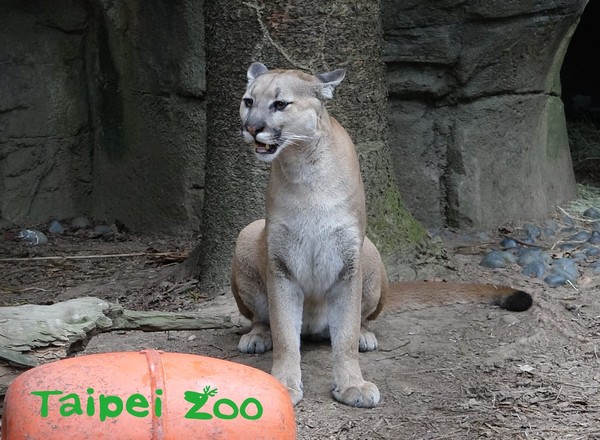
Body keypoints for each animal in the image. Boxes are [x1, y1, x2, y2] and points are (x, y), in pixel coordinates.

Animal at [232, 62, 532, 410]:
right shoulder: (281, 264)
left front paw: (352, 384)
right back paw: (257, 336)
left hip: (371, 252)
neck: (303, 166)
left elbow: (346, 334)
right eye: (249, 101)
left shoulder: (348, 260)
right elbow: (284, 334)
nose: (252, 128)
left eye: (280, 104)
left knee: (357, 321)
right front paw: (283, 384)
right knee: (263, 318)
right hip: (247, 233)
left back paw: (364, 336)